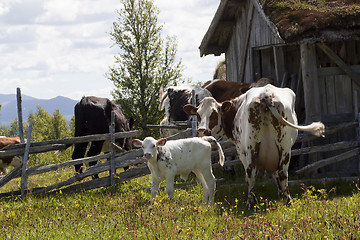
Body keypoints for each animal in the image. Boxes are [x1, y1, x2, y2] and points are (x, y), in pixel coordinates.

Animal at [184, 84, 324, 208]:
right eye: (198, 114)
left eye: (214, 114)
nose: (201, 131)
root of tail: (266, 95)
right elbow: (275, 174)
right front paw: (280, 194)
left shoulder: (241, 150)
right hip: (284, 148)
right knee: (282, 173)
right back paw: (287, 200)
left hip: (252, 148)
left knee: (251, 173)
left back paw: (250, 203)